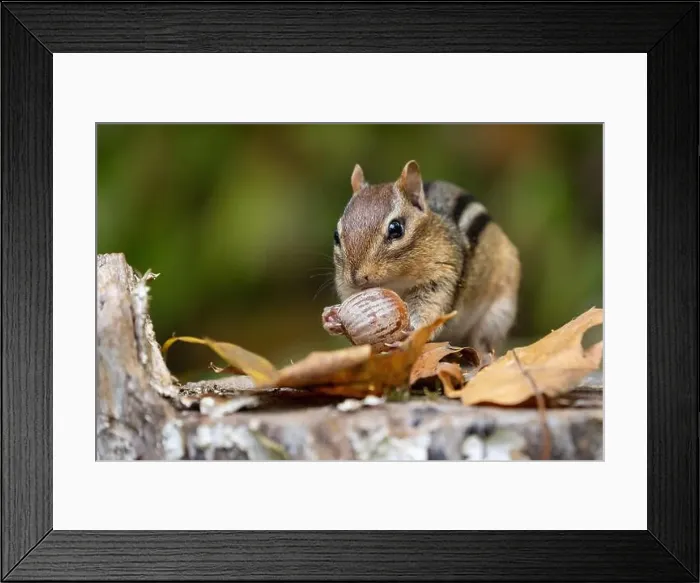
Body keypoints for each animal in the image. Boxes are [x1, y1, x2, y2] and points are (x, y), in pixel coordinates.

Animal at [328, 159, 521, 355]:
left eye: (396, 229)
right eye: (336, 235)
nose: (357, 278)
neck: (397, 281)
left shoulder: (442, 274)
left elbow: (430, 307)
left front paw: (412, 332)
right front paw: (332, 317)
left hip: (498, 314)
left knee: (484, 343)